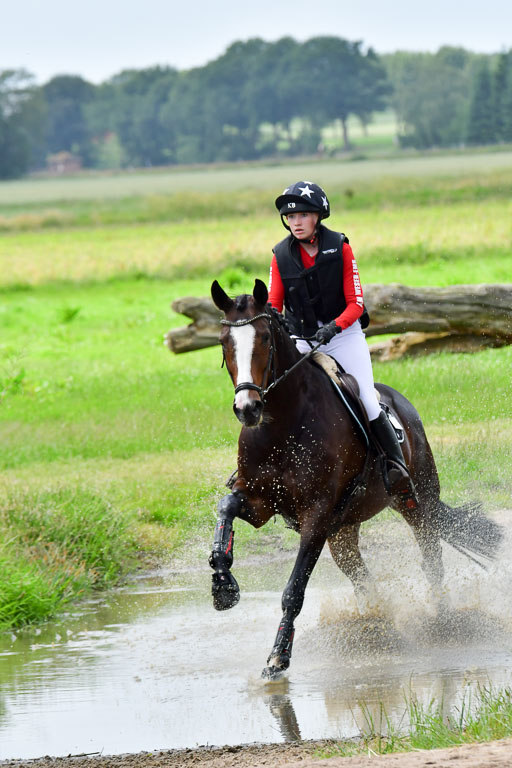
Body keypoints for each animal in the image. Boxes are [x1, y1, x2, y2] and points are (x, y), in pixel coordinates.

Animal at [208, 278, 502, 680]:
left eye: (266, 337)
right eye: (224, 340)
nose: (247, 409)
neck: (282, 424)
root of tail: (401, 403)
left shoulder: (316, 517)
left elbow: (294, 590)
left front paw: (277, 657)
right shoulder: (258, 502)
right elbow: (226, 508)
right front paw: (222, 583)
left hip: (416, 503)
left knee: (432, 560)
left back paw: (442, 626)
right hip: (343, 531)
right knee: (363, 577)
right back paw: (376, 627)